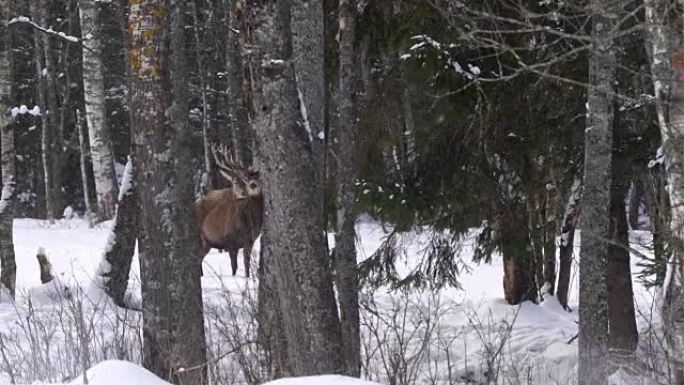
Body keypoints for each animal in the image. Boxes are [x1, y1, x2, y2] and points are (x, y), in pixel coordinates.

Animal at [198, 144, 264, 276]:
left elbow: (246, 264)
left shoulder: (249, 241)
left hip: (206, 243)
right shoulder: (230, 240)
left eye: (260, 177)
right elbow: (234, 267)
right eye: (246, 178)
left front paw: (247, 278)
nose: (253, 184)